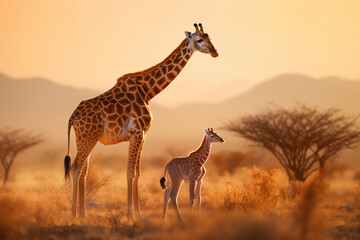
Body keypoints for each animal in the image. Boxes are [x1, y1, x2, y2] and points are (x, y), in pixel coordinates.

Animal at [63, 23, 218, 221]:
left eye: (209, 37)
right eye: (199, 40)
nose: (215, 52)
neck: (148, 91)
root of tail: (73, 116)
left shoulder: (143, 135)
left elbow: (138, 173)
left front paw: (138, 213)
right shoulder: (136, 132)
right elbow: (130, 173)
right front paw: (130, 216)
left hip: (86, 138)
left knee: (83, 170)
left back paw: (83, 214)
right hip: (87, 137)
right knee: (76, 167)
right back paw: (74, 215)